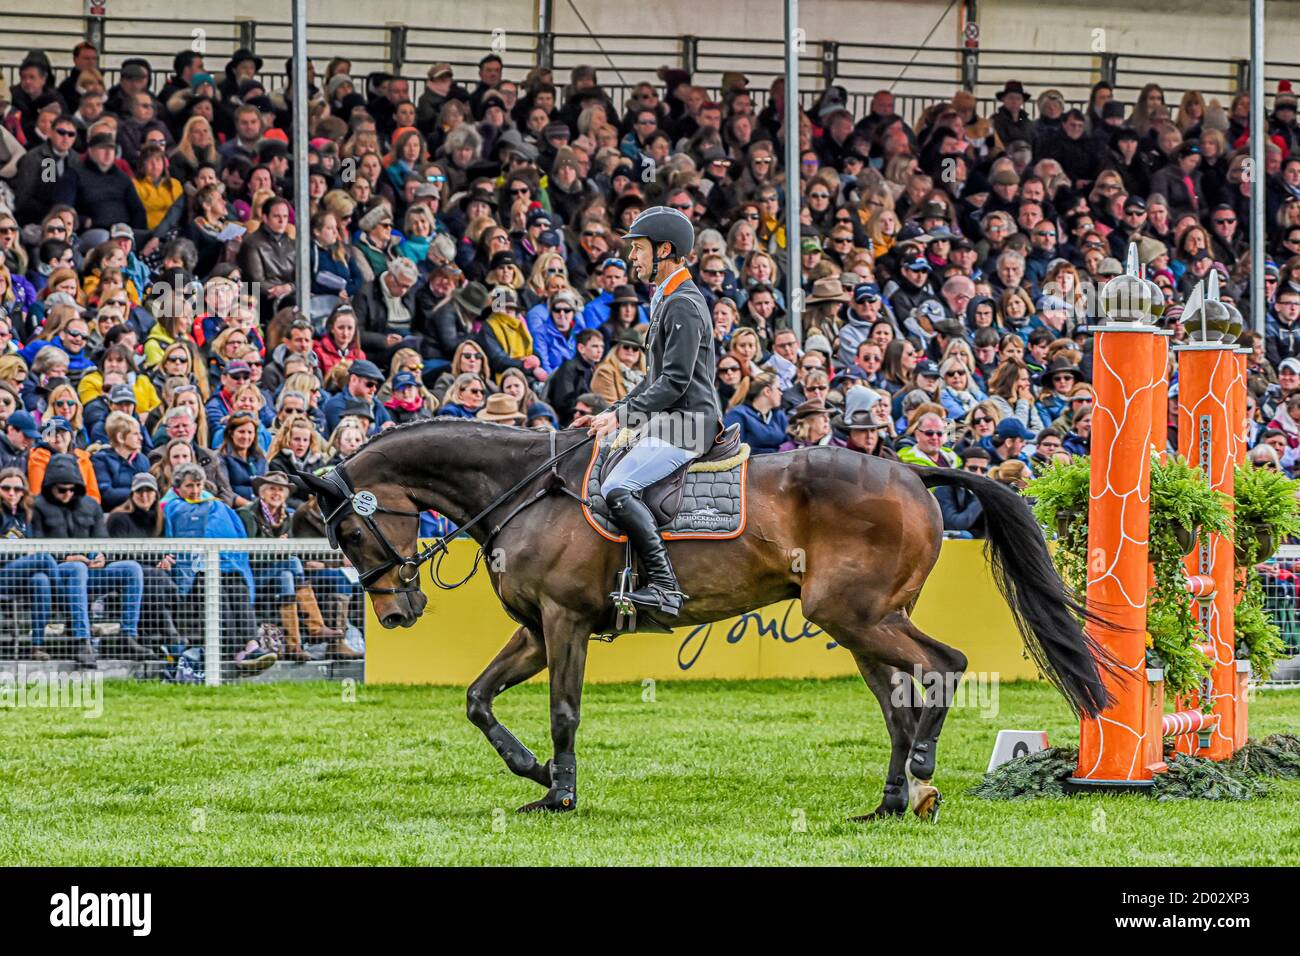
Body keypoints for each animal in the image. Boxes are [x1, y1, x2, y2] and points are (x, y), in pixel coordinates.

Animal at [292, 421, 1107, 816]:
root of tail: (909, 469)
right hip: (860, 621)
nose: (398, 612)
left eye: (350, 531)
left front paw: (558, 794)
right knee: (898, 701)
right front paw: (534, 771)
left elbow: (562, 711)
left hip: (853, 612)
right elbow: (477, 698)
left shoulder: (564, 620)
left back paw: (925, 770)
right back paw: (890, 802)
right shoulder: (534, 629)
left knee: (943, 667)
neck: (524, 489)